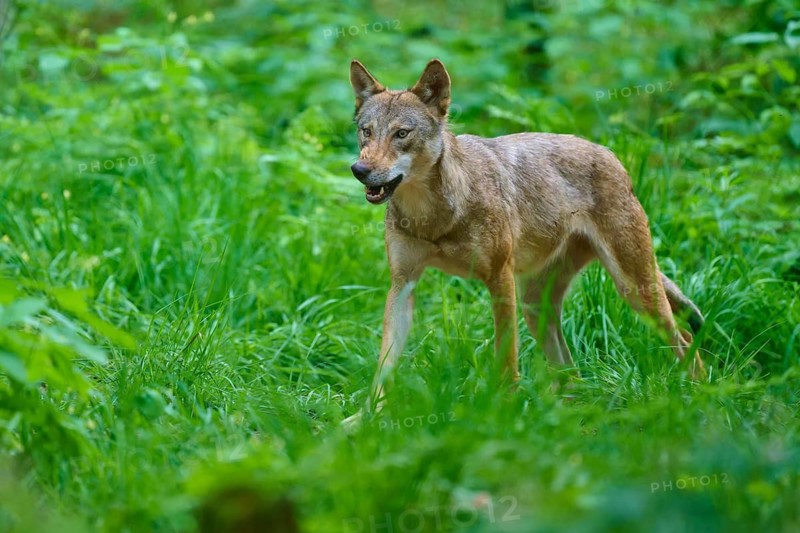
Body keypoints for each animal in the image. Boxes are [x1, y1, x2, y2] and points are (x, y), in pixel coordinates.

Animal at [348, 58, 705, 413]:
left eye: (401, 134)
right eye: (367, 132)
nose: (360, 170)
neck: (432, 217)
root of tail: (610, 154)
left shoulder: (499, 276)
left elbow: (507, 355)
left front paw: (504, 407)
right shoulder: (403, 284)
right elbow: (384, 364)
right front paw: (368, 416)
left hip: (634, 290)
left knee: (685, 339)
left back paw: (700, 396)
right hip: (537, 308)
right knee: (570, 370)